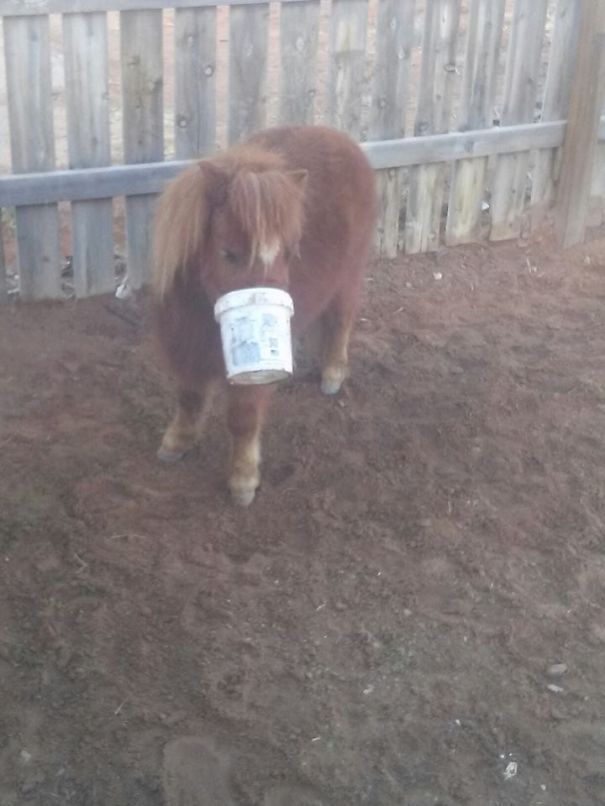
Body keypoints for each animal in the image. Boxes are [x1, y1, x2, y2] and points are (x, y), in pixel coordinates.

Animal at [152, 125, 376, 506]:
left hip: (348, 278)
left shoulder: (250, 376)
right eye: (228, 253)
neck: (201, 308)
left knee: (340, 324)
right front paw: (176, 442)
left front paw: (243, 480)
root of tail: (342, 139)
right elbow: (189, 397)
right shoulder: (187, 348)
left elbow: (243, 418)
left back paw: (332, 374)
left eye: (289, 253)